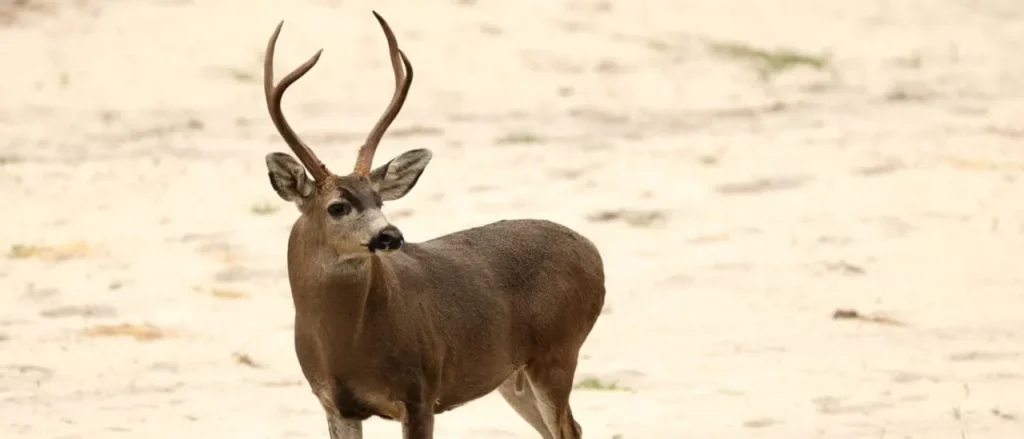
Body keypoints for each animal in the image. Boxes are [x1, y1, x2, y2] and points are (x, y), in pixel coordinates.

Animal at [260, 11, 606, 439]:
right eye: (337, 206)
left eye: (379, 200)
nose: (390, 235)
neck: (346, 345)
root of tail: (593, 252)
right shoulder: (334, 403)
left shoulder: (421, 390)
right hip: (513, 374)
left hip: (558, 351)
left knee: (568, 428)